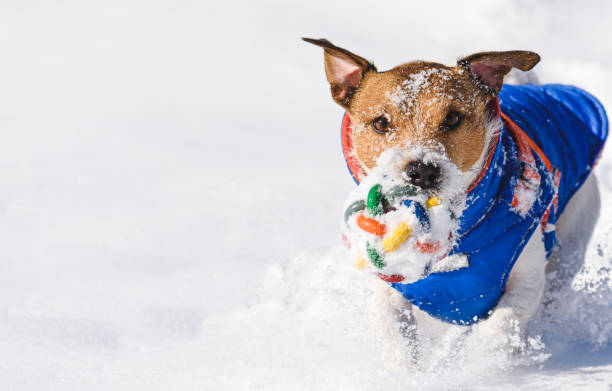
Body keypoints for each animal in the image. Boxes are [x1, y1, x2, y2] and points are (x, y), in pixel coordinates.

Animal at [304, 38, 608, 346]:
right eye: (380, 123)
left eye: (452, 118)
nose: (422, 170)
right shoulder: (389, 292)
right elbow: (397, 339)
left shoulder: (526, 280)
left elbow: (497, 329)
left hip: (572, 238)